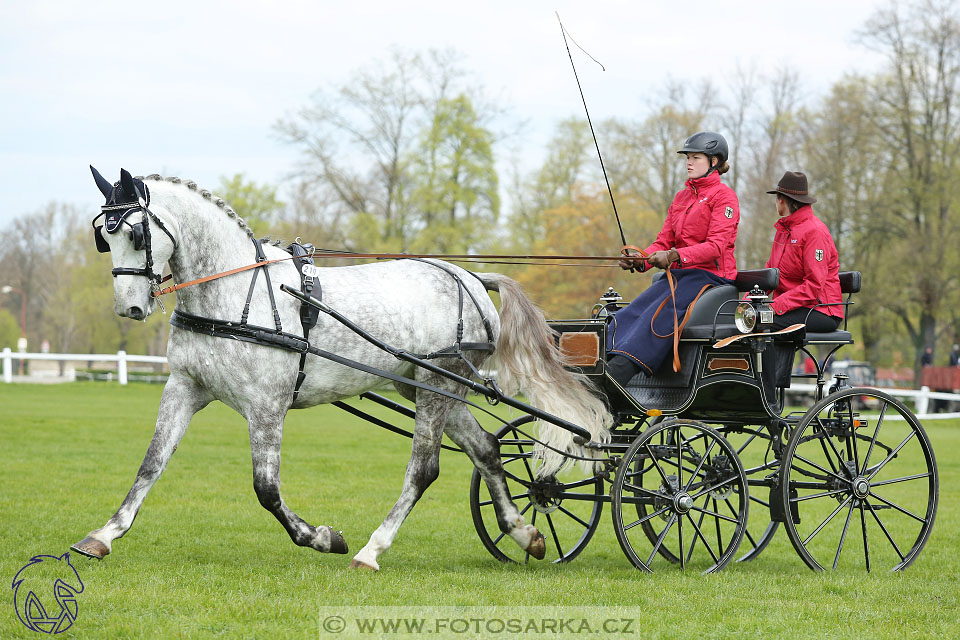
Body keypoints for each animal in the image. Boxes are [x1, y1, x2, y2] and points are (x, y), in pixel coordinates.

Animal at [73, 168, 608, 568]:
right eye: (103, 237)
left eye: (136, 232)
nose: (129, 308)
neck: (236, 292)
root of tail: (469, 276)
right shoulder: (184, 387)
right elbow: (151, 463)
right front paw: (105, 533)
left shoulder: (267, 405)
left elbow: (266, 489)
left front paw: (322, 537)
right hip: (430, 389)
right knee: (488, 450)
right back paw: (522, 532)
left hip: (438, 384)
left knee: (424, 469)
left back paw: (373, 549)